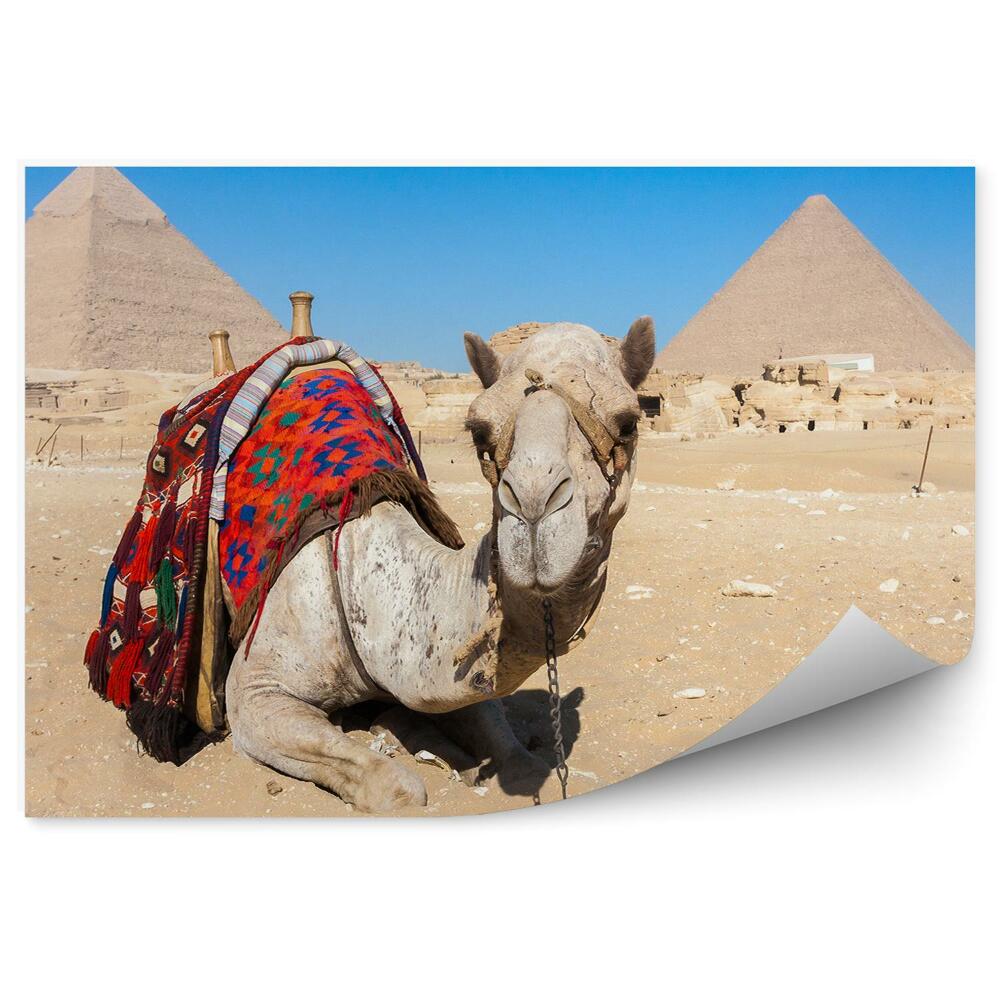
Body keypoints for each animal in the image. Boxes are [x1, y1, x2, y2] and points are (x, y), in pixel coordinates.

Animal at [225, 318, 655, 810]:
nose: (533, 507)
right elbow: (399, 787)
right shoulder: (254, 691)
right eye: (479, 432)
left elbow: (514, 750)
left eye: (628, 423)